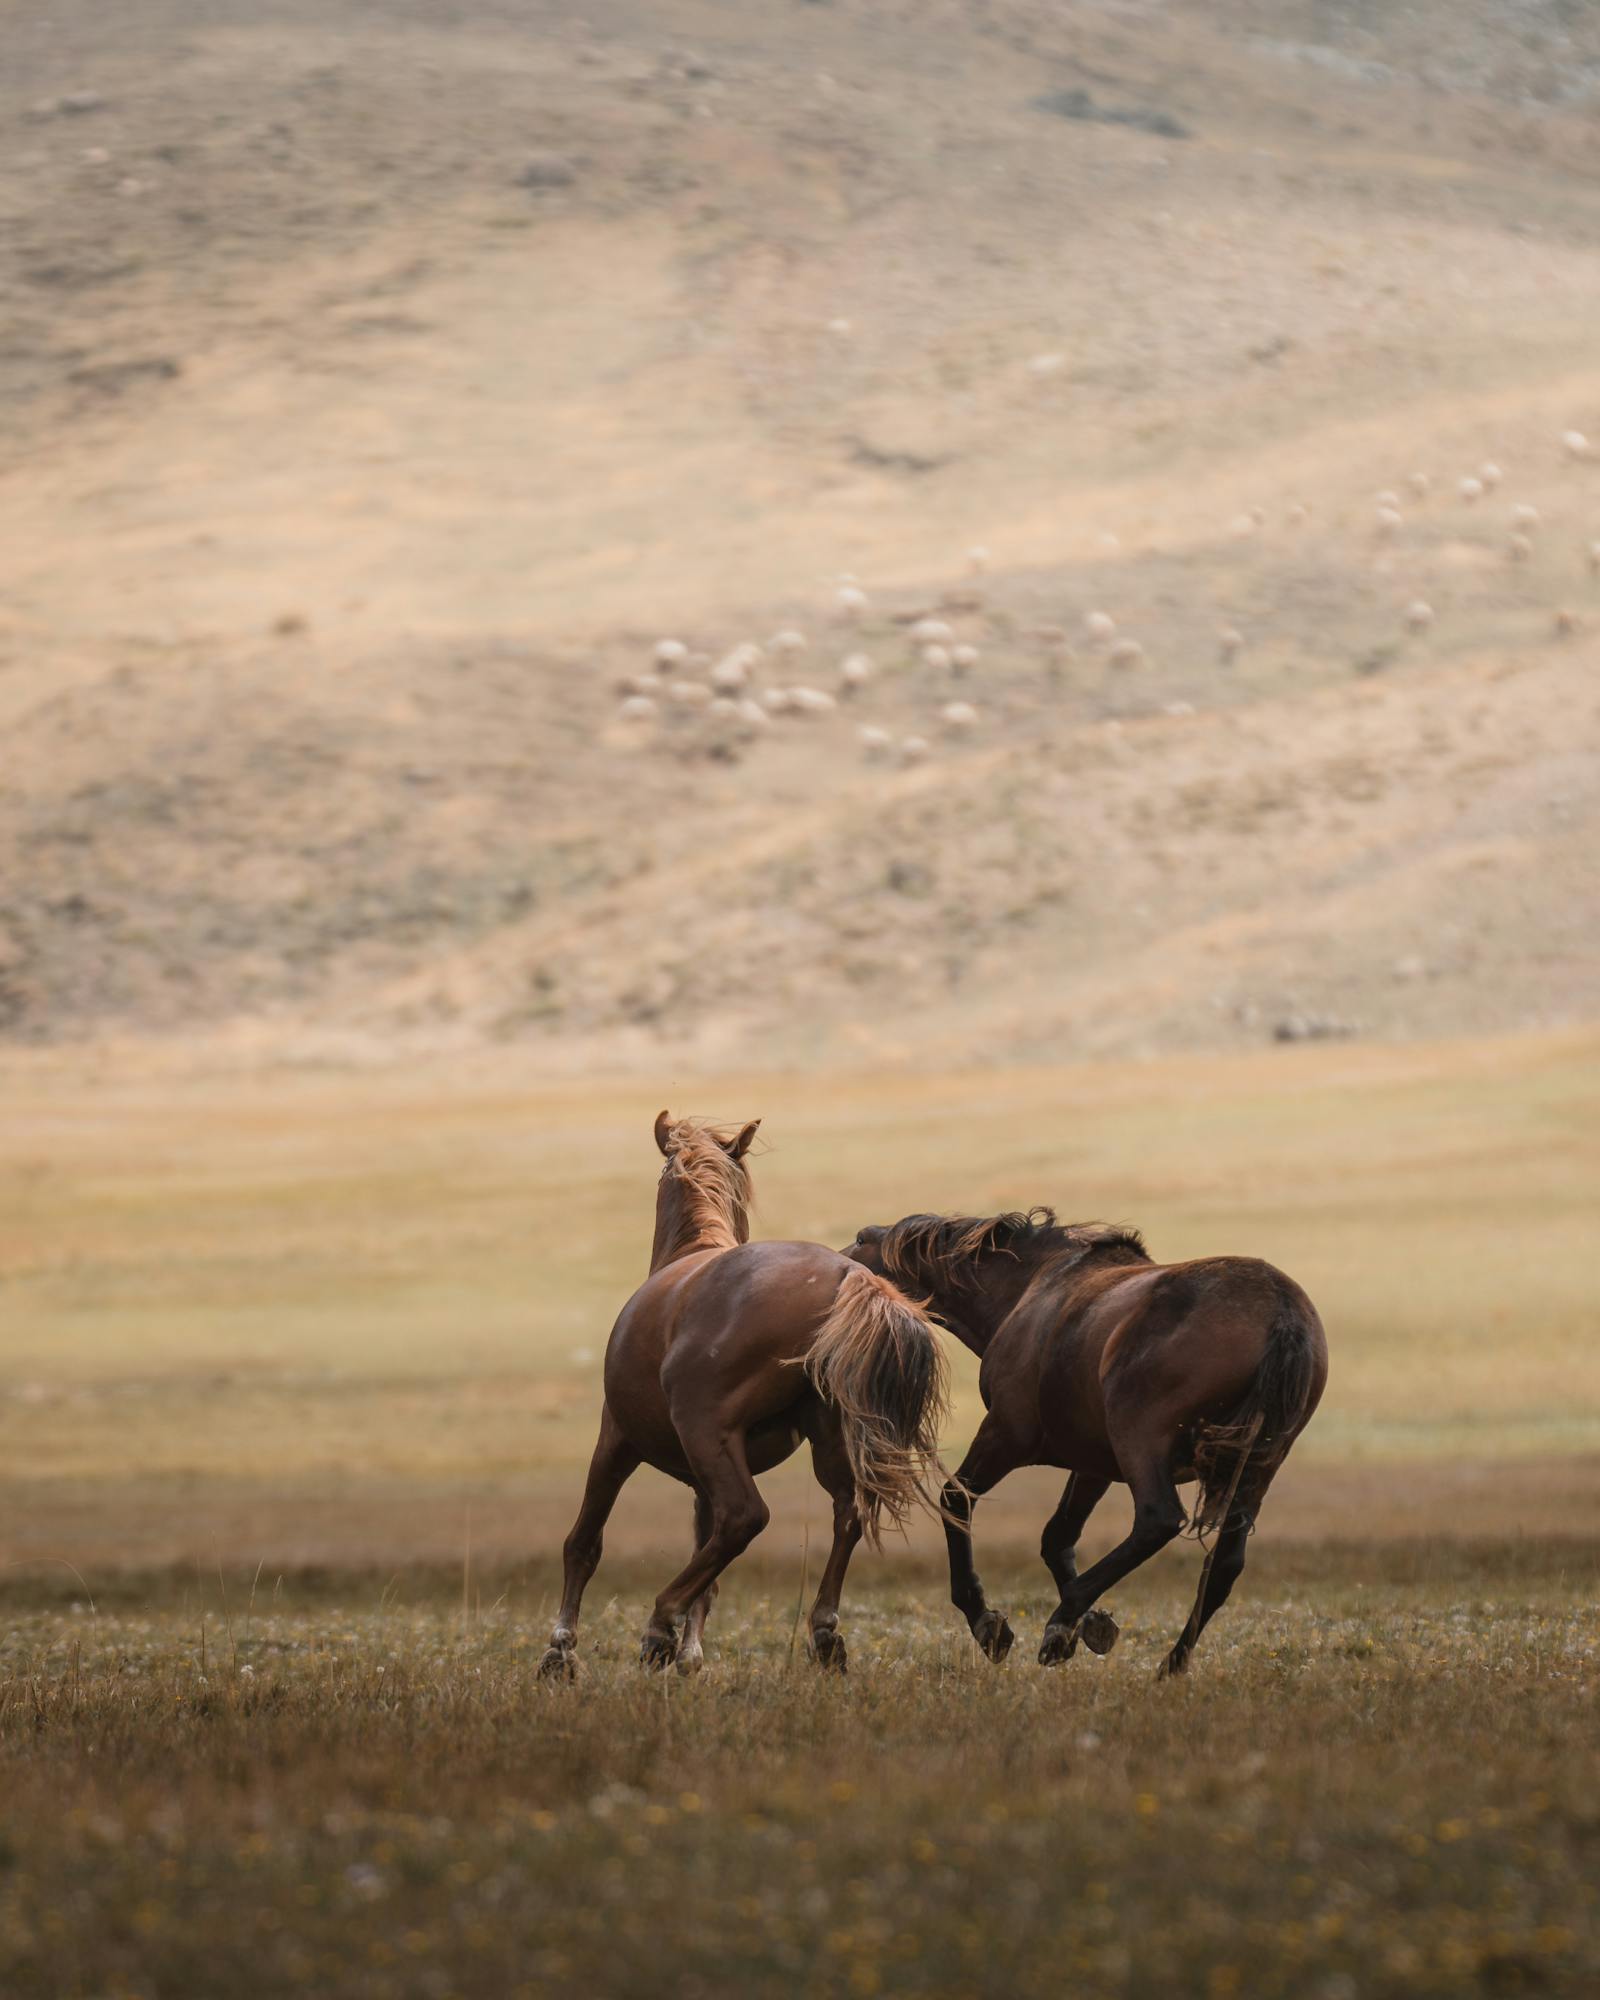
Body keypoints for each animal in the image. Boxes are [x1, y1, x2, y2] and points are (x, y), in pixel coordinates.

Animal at [544, 1120, 952, 1680]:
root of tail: (846, 1276)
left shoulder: (616, 1441)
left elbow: (584, 1543)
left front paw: (560, 1650)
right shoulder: (699, 1480)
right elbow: (707, 1565)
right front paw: (691, 1656)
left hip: (706, 1433)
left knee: (745, 1517)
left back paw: (659, 1623)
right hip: (824, 1439)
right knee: (845, 1514)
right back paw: (823, 1632)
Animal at [836, 1208, 1328, 1680]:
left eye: (859, 1240)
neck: (1027, 1287)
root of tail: (1281, 1314)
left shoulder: (1007, 1433)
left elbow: (956, 1500)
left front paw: (991, 1623)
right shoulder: (1094, 1464)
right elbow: (1057, 1537)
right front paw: (1089, 1624)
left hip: (1140, 1437)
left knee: (1158, 1520)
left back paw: (1063, 1619)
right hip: (1256, 1467)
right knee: (1224, 1564)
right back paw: (1168, 1662)